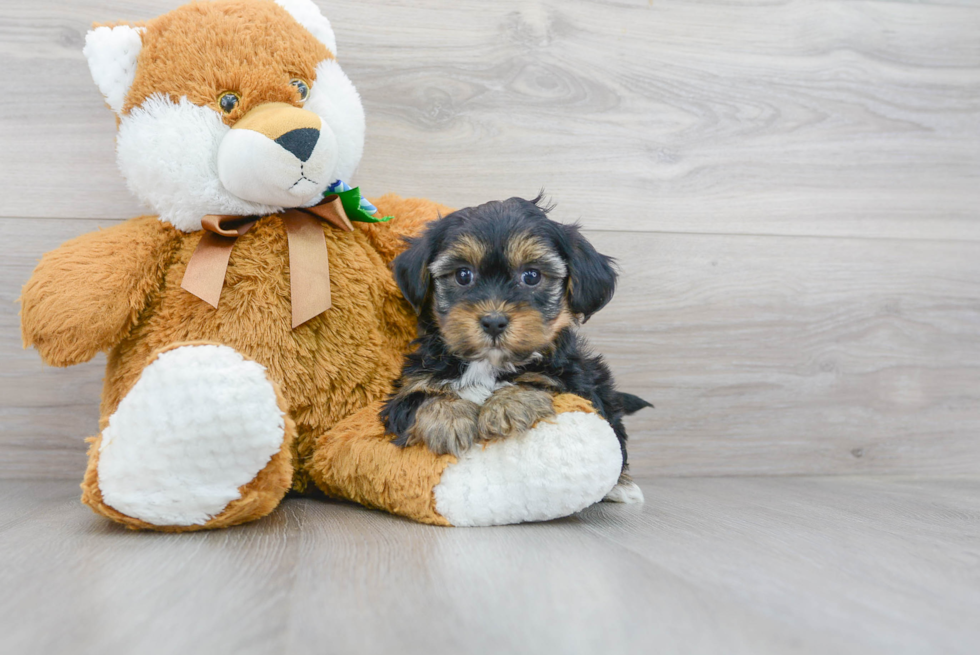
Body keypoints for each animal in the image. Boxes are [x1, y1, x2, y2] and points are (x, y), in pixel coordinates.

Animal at [380, 195, 652, 502]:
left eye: (531, 276)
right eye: (463, 275)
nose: (494, 321)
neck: (488, 364)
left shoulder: (577, 385)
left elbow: (541, 381)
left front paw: (509, 405)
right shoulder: (409, 385)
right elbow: (418, 398)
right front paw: (448, 419)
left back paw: (623, 486)